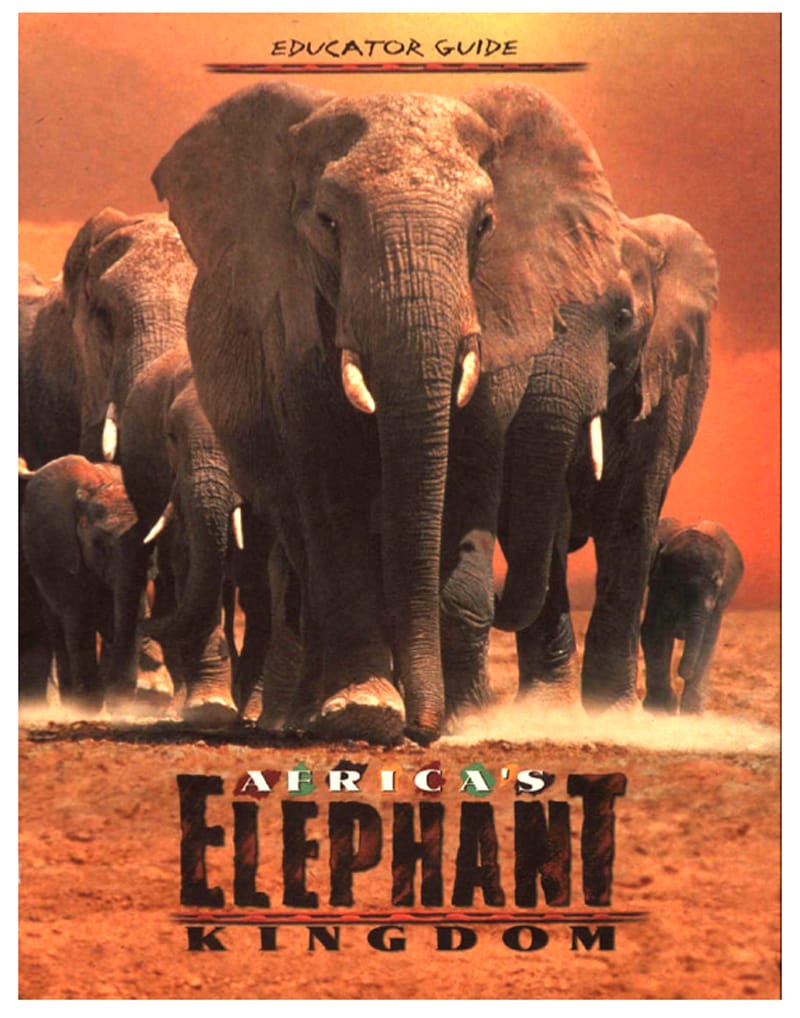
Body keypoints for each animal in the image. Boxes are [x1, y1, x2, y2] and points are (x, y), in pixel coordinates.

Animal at [19, 455, 138, 710]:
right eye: (98, 544)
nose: (118, 699)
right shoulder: (63, 550)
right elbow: (78, 615)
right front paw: (89, 705)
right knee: (58, 627)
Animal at [151, 80, 623, 744]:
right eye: (328, 224)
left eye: (484, 225)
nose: (422, 731)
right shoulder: (291, 332)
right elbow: (330, 494)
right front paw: (364, 712)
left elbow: (466, 478)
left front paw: (464, 721)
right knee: (301, 553)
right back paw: (301, 717)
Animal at [494, 213, 720, 710]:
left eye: (622, 319)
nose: (492, 590)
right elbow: (543, 514)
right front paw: (545, 707)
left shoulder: (661, 381)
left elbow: (629, 515)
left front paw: (611, 711)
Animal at [641, 518, 743, 714]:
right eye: (676, 583)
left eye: (716, 582)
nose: (683, 674)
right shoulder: (659, 589)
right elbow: (654, 634)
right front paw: (663, 710)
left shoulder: (717, 603)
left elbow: (708, 641)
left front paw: (692, 712)